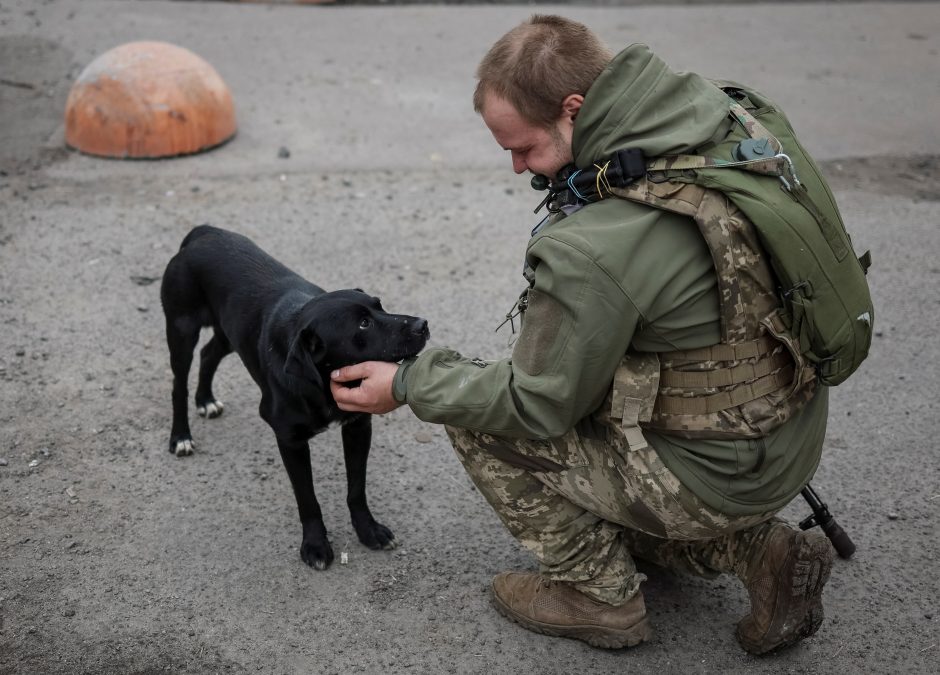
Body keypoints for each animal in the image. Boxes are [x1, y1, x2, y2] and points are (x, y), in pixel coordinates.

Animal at [161, 227, 430, 572]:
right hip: (181, 329)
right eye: (363, 323)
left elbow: (356, 488)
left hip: (228, 332)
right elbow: (308, 499)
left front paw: (368, 529)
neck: (321, 382)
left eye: (379, 305)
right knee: (178, 383)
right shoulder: (290, 441)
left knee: (209, 354)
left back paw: (205, 399)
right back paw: (181, 435)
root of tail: (203, 233)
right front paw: (315, 545)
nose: (423, 324)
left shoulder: (358, 427)